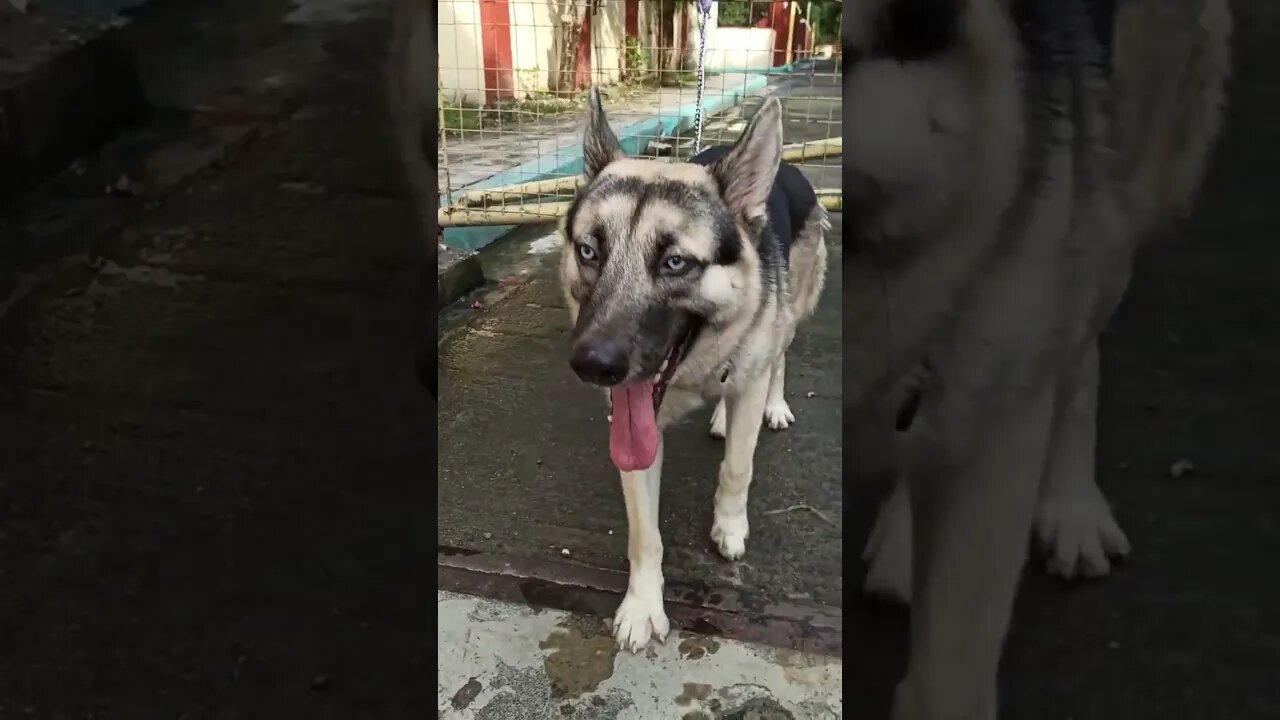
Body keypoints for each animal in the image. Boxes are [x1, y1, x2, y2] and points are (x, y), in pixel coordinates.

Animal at [560, 87, 829, 648]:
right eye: (589, 251)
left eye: (675, 263)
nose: (593, 366)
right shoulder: (634, 431)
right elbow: (644, 532)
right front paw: (643, 603)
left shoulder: (748, 375)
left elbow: (737, 468)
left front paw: (729, 527)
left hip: (790, 317)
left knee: (778, 358)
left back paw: (773, 404)